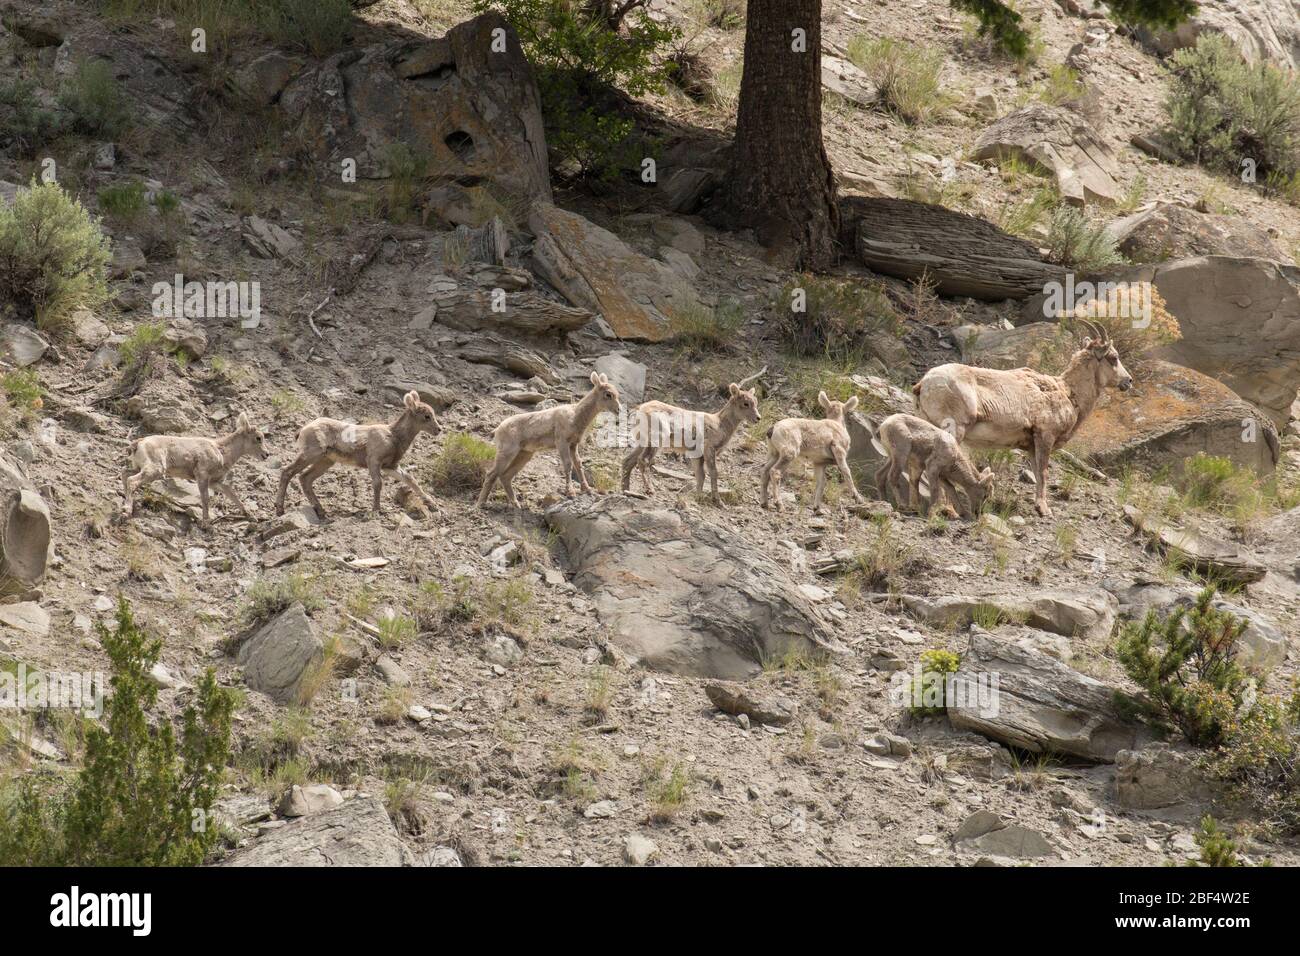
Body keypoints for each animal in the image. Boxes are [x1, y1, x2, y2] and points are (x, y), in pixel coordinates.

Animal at [125, 416, 270, 528]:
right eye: (258, 438)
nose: (267, 454)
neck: (222, 452)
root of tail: (139, 443)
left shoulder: (216, 482)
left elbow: (232, 495)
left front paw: (251, 517)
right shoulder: (202, 476)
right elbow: (205, 499)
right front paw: (206, 524)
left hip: (139, 468)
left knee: (125, 474)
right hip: (155, 470)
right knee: (131, 481)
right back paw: (126, 510)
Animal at [274, 390, 441, 520]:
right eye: (427, 416)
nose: (439, 430)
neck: (394, 436)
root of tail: (303, 430)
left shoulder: (390, 466)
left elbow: (410, 479)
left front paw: (432, 504)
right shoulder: (374, 461)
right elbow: (378, 484)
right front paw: (376, 511)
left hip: (325, 461)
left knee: (305, 478)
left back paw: (321, 512)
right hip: (311, 455)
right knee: (287, 472)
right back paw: (280, 510)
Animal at [478, 371, 618, 512]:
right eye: (608, 394)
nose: (618, 410)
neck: (575, 416)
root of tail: (497, 430)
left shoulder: (573, 445)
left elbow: (578, 464)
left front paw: (587, 490)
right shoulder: (562, 442)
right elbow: (568, 465)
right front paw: (571, 493)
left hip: (524, 454)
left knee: (506, 476)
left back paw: (517, 505)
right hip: (507, 452)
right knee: (491, 474)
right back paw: (481, 504)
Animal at [618, 382, 759, 504]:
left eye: (756, 403)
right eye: (746, 403)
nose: (758, 418)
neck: (720, 424)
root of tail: (640, 410)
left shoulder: (697, 455)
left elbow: (700, 475)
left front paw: (698, 497)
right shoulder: (709, 449)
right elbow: (713, 472)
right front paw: (718, 502)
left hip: (642, 442)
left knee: (628, 461)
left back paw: (627, 490)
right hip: (657, 440)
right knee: (644, 460)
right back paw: (650, 490)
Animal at [909, 319, 1133, 515]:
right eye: (1113, 358)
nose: (1128, 381)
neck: (1068, 393)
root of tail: (924, 384)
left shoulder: (1031, 446)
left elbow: (1037, 472)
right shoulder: (1045, 437)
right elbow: (1043, 472)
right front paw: (1044, 510)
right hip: (954, 430)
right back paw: (949, 510)